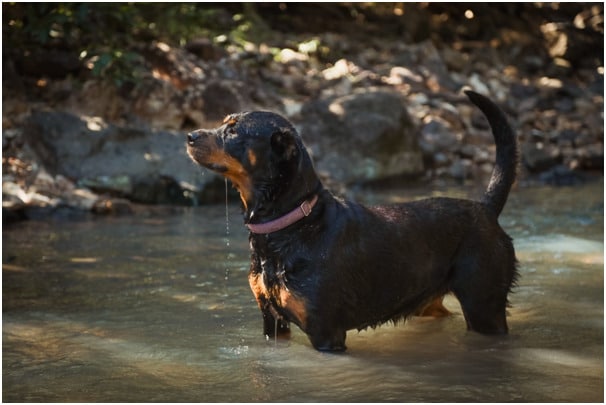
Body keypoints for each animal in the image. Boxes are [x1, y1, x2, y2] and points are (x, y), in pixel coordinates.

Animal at [188, 89, 520, 350]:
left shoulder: (326, 332)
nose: (190, 136)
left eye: (233, 131)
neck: (290, 226)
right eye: (224, 122)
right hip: (430, 302)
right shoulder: (272, 321)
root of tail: (485, 208)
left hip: (484, 306)